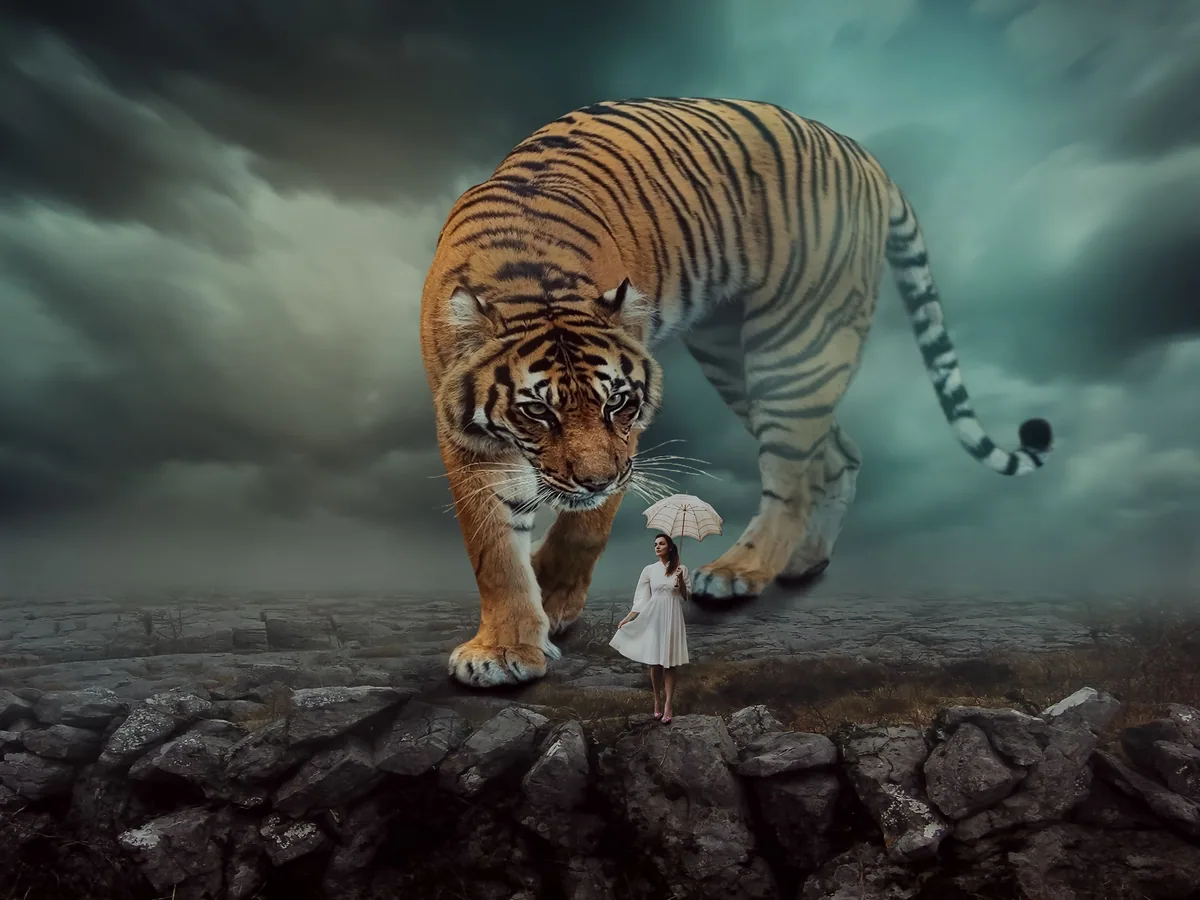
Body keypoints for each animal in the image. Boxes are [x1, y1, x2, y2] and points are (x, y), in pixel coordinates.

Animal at [419, 97, 1053, 689]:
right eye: (536, 411)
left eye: (616, 402)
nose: (596, 480)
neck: (530, 276)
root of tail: (863, 155)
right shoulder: (469, 439)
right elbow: (495, 551)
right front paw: (505, 649)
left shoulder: (626, 443)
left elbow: (583, 528)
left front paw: (551, 603)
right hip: (730, 354)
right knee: (837, 453)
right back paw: (803, 561)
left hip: (796, 346)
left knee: (792, 473)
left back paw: (739, 573)